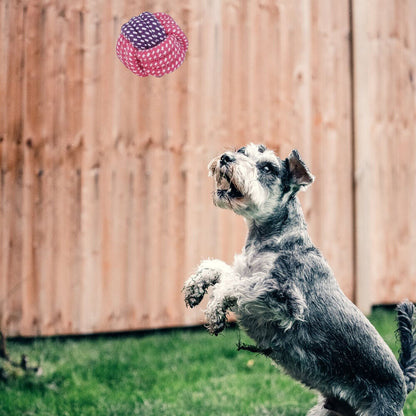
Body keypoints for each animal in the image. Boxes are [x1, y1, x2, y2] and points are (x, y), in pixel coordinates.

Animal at [184, 144, 416, 416]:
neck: (273, 237)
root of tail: (402, 384)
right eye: (243, 150)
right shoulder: (246, 271)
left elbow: (237, 286)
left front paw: (214, 310)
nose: (225, 157)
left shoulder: (284, 296)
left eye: (267, 167)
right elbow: (222, 270)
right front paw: (195, 286)